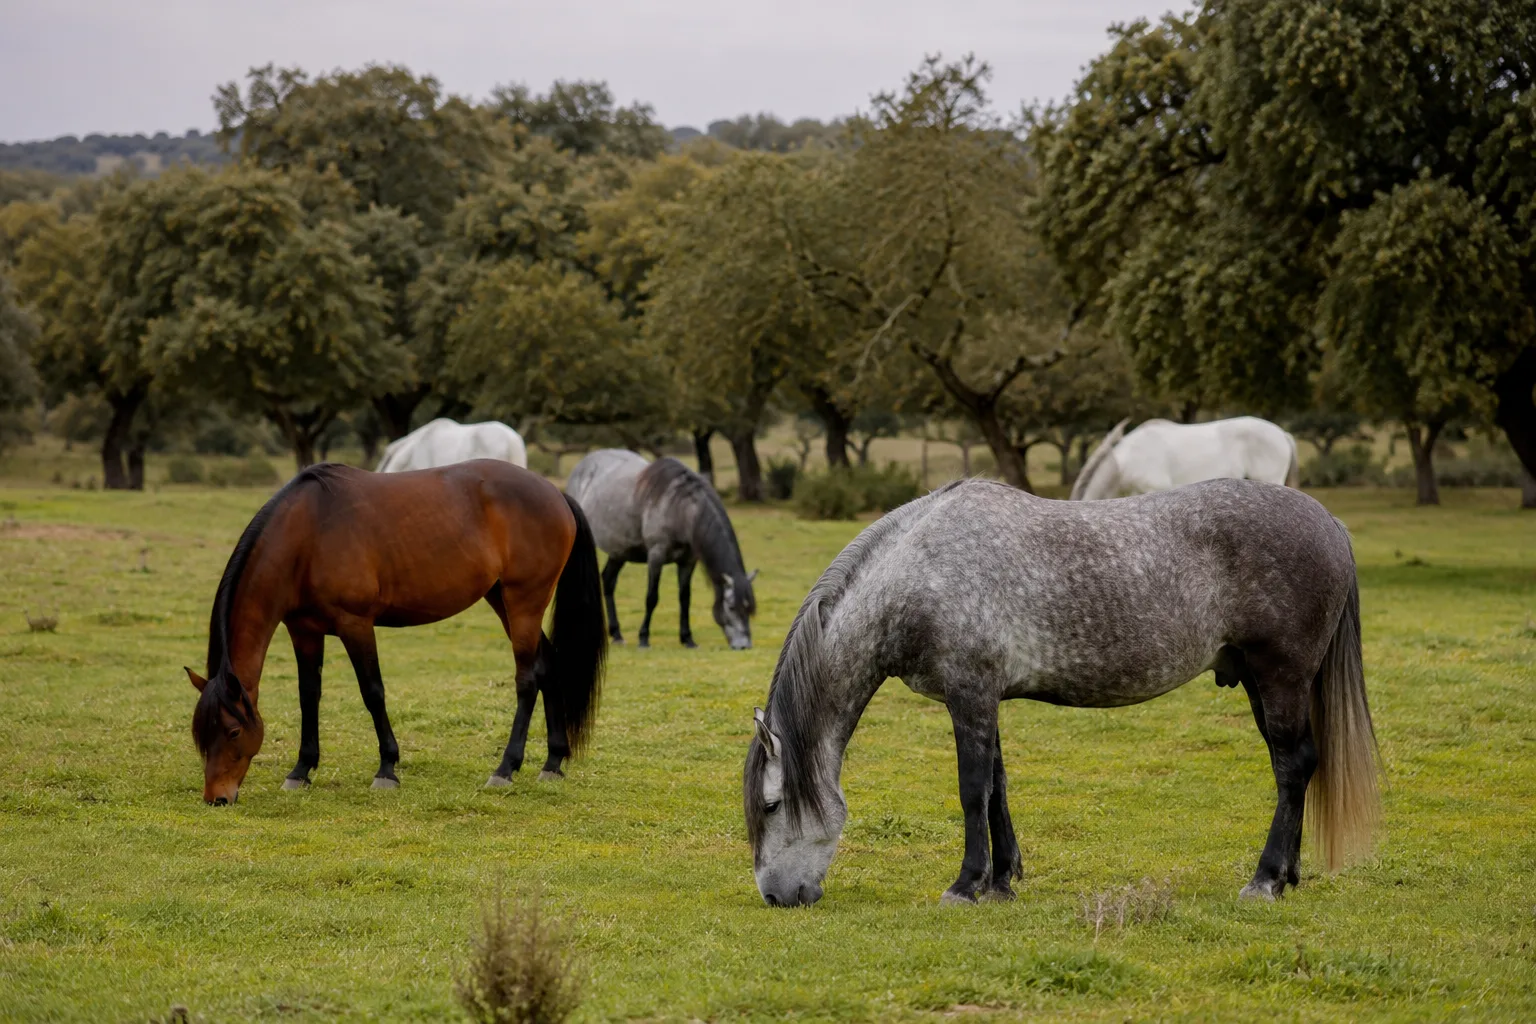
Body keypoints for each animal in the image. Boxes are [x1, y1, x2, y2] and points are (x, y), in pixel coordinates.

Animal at [186, 461, 606, 805]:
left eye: (233, 732)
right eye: (200, 735)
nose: (216, 798)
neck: (307, 532)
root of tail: (556, 493)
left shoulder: (356, 624)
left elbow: (373, 693)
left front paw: (387, 768)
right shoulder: (304, 630)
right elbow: (309, 695)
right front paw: (301, 771)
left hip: (524, 602)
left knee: (527, 679)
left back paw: (505, 769)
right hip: (502, 599)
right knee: (548, 665)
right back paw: (552, 762)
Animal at [565, 449, 757, 650]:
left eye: (749, 608)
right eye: (731, 607)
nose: (744, 645)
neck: (679, 508)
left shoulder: (687, 561)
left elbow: (685, 598)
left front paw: (687, 639)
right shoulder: (656, 556)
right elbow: (652, 598)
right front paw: (643, 638)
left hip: (619, 551)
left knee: (608, 582)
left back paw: (617, 634)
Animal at [744, 478, 1380, 907]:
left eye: (772, 805)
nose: (776, 896)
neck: (919, 571)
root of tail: (1328, 521)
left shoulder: (969, 696)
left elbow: (972, 789)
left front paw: (966, 885)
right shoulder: (985, 698)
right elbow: (997, 788)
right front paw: (1001, 881)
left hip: (1281, 677)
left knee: (1293, 767)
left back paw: (1266, 880)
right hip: (1257, 680)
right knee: (1294, 766)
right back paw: (1287, 875)